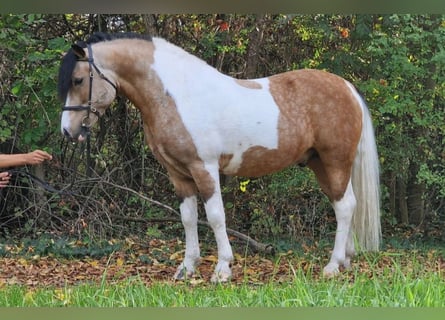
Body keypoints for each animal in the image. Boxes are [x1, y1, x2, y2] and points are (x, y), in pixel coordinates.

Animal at [57, 31, 380, 282]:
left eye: (78, 80)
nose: (68, 131)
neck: (178, 95)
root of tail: (347, 87)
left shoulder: (205, 168)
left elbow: (215, 216)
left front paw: (223, 269)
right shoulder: (179, 174)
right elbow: (188, 218)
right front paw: (187, 268)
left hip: (335, 162)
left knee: (345, 207)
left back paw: (332, 266)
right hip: (320, 164)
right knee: (344, 205)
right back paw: (345, 260)